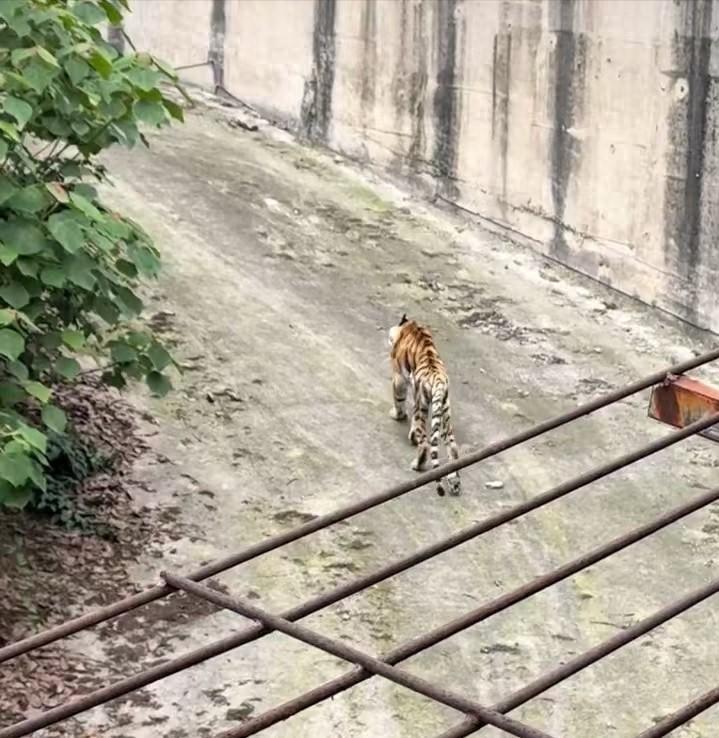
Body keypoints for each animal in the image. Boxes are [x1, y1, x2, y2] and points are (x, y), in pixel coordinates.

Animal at [388, 314, 461, 496]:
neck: (412, 326)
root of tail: (439, 382)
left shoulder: (399, 377)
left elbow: (398, 398)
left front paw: (397, 415)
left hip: (423, 408)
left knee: (426, 444)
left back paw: (416, 465)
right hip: (445, 413)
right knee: (452, 447)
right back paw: (454, 483)